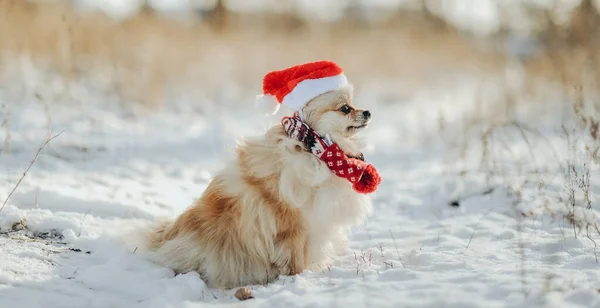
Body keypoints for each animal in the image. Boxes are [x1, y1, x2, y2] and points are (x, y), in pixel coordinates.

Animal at [141, 63, 376, 292]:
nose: (368, 112)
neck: (316, 150)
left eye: (353, 104)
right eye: (345, 108)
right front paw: (299, 277)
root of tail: (166, 238)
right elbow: (295, 257)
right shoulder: (294, 223)